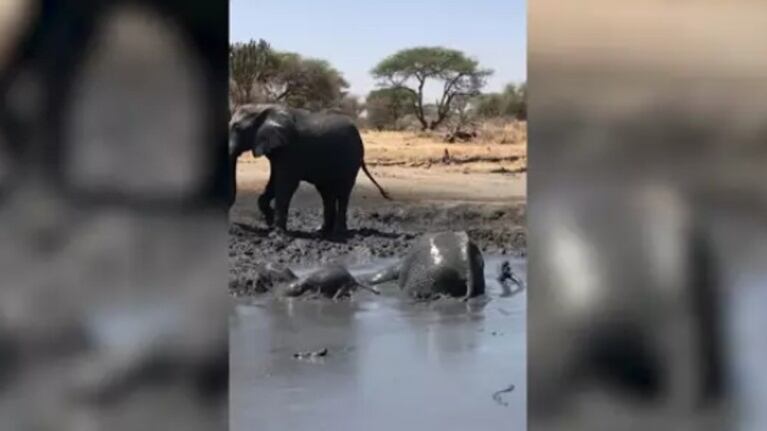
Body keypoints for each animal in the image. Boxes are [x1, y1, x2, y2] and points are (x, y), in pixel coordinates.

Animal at [226, 104, 390, 238]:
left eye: (237, 128)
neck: (262, 108)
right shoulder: (278, 149)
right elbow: (274, 182)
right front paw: (270, 221)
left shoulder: (290, 149)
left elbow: (285, 185)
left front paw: (276, 233)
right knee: (326, 194)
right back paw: (322, 231)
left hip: (352, 158)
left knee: (343, 193)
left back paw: (338, 233)